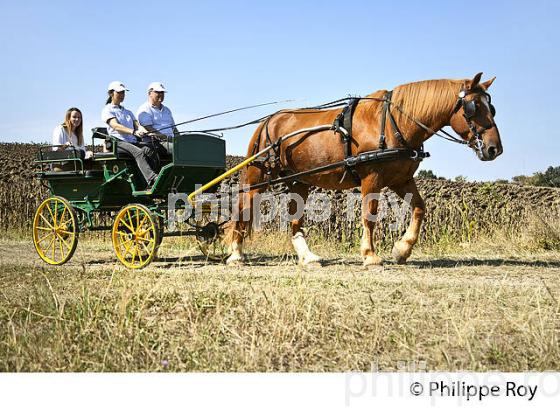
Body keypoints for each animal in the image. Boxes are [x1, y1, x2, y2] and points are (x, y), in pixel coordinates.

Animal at [226, 73, 504, 266]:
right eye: (474, 107)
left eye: (491, 107)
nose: (494, 149)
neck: (393, 122)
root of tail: (267, 121)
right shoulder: (372, 178)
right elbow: (369, 215)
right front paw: (370, 255)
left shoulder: (402, 179)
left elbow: (419, 208)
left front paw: (401, 250)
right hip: (258, 176)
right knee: (244, 207)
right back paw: (236, 254)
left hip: (299, 181)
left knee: (295, 219)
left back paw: (308, 257)